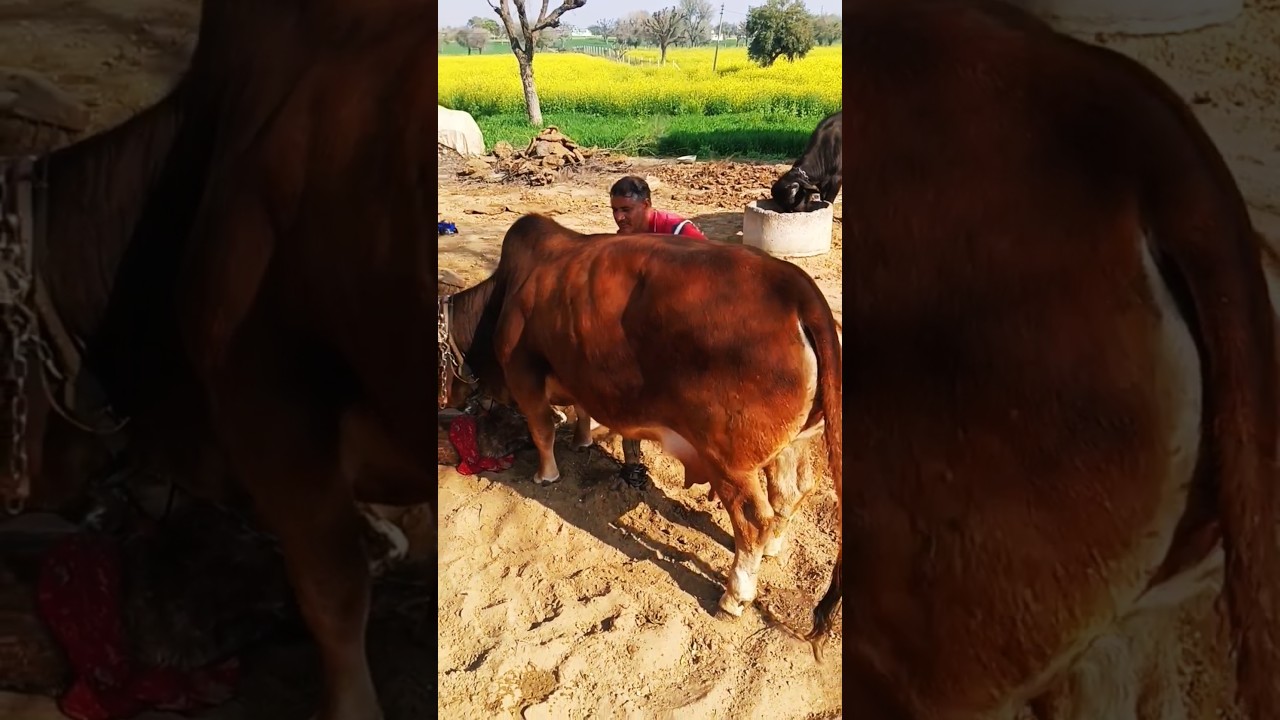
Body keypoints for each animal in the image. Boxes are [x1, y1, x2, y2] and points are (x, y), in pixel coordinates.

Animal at [436, 214, 844, 636]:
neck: (502, 296)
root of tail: (798, 288)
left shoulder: (523, 372)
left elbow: (542, 429)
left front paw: (545, 474)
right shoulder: (580, 373)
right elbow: (581, 411)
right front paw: (582, 440)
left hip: (729, 462)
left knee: (753, 519)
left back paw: (734, 595)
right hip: (794, 443)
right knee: (790, 494)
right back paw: (774, 549)